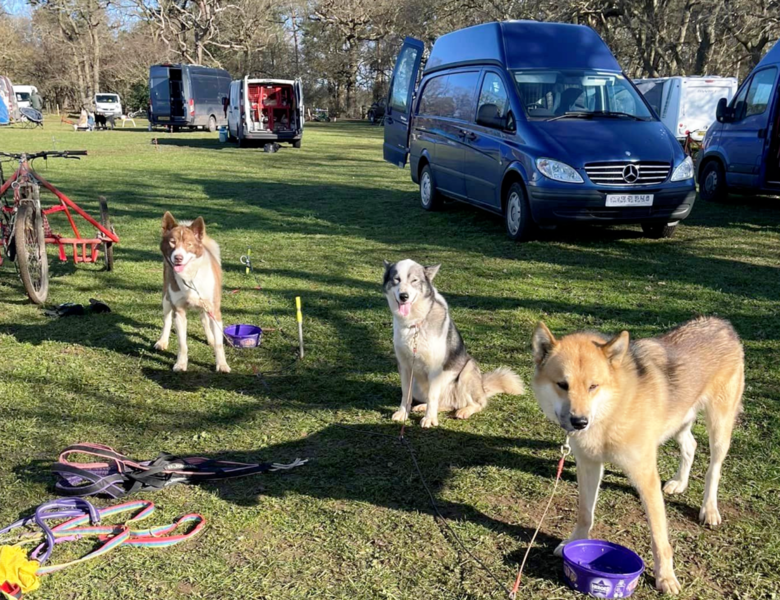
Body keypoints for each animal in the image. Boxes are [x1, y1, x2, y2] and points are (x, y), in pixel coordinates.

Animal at [154, 212, 230, 373]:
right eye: (172, 242)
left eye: (189, 244)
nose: (178, 257)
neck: (190, 276)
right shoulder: (179, 311)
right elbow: (182, 344)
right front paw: (181, 364)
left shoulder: (214, 309)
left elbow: (219, 344)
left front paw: (222, 365)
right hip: (166, 298)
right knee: (167, 320)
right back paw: (162, 341)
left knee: (205, 319)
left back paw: (211, 338)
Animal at [383, 259, 524, 427]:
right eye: (396, 279)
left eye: (414, 280)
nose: (404, 296)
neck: (414, 323)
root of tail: (482, 387)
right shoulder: (405, 366)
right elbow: (406, 394)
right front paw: (403, 413)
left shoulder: (435, 369)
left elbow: (432, 397)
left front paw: (429, 419)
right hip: (419, 384)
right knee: (446, 403)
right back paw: (423, 407)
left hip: (467, 371)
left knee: (476, 403)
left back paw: (464, 411)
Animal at [531, 317, 744, 594]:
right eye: (562, 385)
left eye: (593, 386)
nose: (579, 422)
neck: (611, 411)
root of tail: (720, 323)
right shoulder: (588, 466)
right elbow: (585, 512)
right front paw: (575, 541)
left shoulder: (646, 477)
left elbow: (659, 537)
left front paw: (665, 577)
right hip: (678, 421)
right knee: (691, 445)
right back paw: (680, 482)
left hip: (719, 427)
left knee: (714, 469)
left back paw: (709, 509)